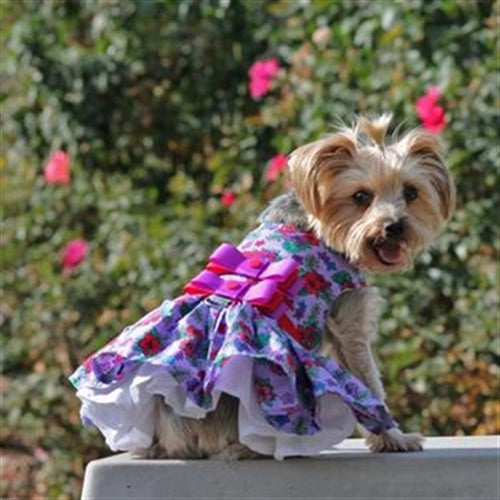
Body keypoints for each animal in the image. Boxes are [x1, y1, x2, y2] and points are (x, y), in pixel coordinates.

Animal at [146, 115, 456, 458]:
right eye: (361, 197)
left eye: (411, 192)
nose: (394, 227)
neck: (322, 228)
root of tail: (167, 437)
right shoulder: (348, 323)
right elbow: (369, 386)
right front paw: (395, 438)